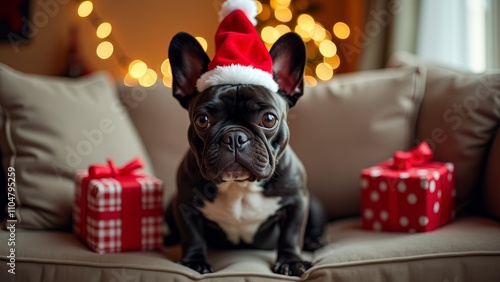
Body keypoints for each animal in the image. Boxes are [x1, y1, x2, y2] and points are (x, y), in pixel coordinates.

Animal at [164, 30, 324, 276]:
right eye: (202, 120)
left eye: (269, 119)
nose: (234, 137)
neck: (238, 185)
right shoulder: (185, 203)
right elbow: (192, 235)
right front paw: (194, 261)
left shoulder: (297, 201)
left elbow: (291, 233)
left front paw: (291, 261)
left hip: (313, 203)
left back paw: (314, 241)